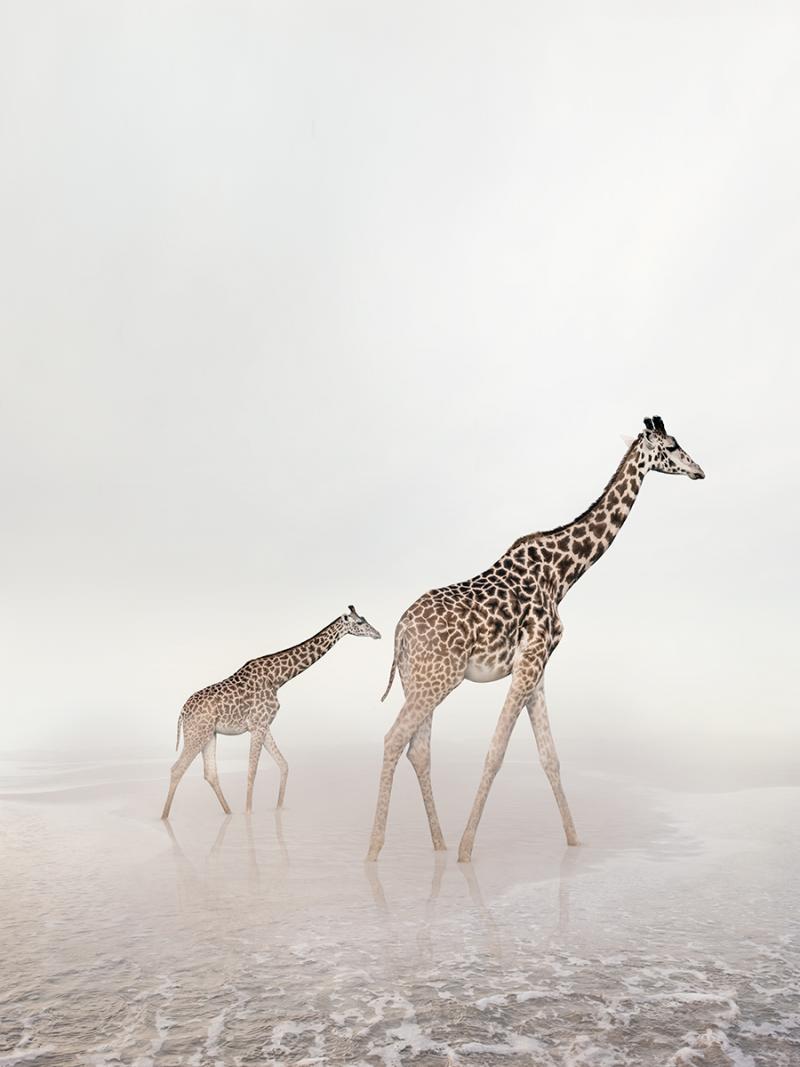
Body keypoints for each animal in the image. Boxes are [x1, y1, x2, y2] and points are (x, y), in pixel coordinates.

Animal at [161, 606, 380, 819]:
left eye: (364, 618)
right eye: (360, 622)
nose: (378, 634)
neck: (278, 678)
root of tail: (182, 712)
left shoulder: (264, 725)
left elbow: (283, 765)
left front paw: (279, 809)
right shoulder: (257, 726)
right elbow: (252, 771)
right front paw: (249, 813)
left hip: (209, 735)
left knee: (210, 773)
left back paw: (229, 812)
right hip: (196, 734)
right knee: (177, 769)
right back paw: (164, 817)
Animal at [367, 416, 705, 863]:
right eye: (671, 446)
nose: (699, 470)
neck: (563, 573)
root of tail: (400, 632)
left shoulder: (539, 666)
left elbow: (550, 757)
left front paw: (575, 842)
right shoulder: (529, 662)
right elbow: (496, 751)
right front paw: (466, 851)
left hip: (420, 680)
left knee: (417, 750)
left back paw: (437, 846)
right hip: (436, 680)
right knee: (394, 740)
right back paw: (375, 850)